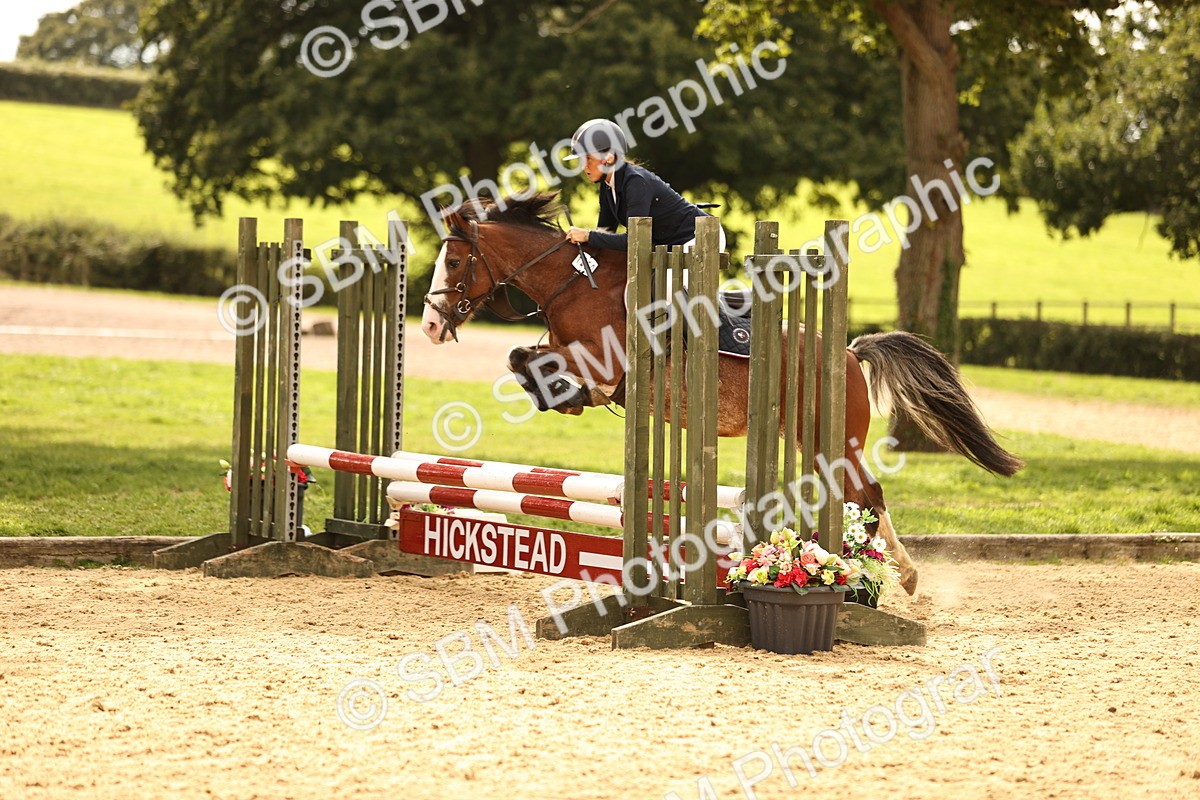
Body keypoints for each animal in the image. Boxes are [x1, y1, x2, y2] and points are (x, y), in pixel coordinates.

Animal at [420, 193, 1024, 594]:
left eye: (454, 260)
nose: (428, 324)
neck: (577, 285)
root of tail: (850, 355)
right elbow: (521, 358)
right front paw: (561, 396)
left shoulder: (606, 361)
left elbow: (538, 362)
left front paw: (565, 395)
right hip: (805, 441)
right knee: (854, 497)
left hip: (829, 439)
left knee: (868, 494)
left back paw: (895, 577)